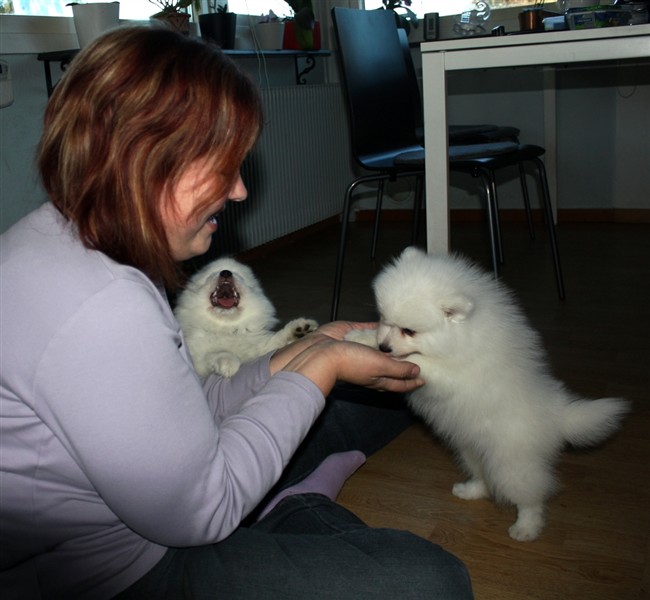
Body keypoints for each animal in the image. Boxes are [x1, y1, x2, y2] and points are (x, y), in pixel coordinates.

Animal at [175, 257, 318, 378]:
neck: (226, 327)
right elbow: (214, 353)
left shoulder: (260, 348)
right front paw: (228, 363)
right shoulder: (197, 359)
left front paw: (299, 329)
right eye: (211, 274)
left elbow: (275, 340)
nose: (226, 272)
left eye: (239, 275)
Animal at [347, 247, 630, 541]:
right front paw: (362, 338)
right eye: (383, 318)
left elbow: (418, 362)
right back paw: (470, 490)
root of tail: (556, 416)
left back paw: (526, 527)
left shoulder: (454, 374)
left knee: (530, 497)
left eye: (409, 331)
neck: (461, 337)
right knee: (484, 478)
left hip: (512, 463)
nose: (384, 347)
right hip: (472, 451)